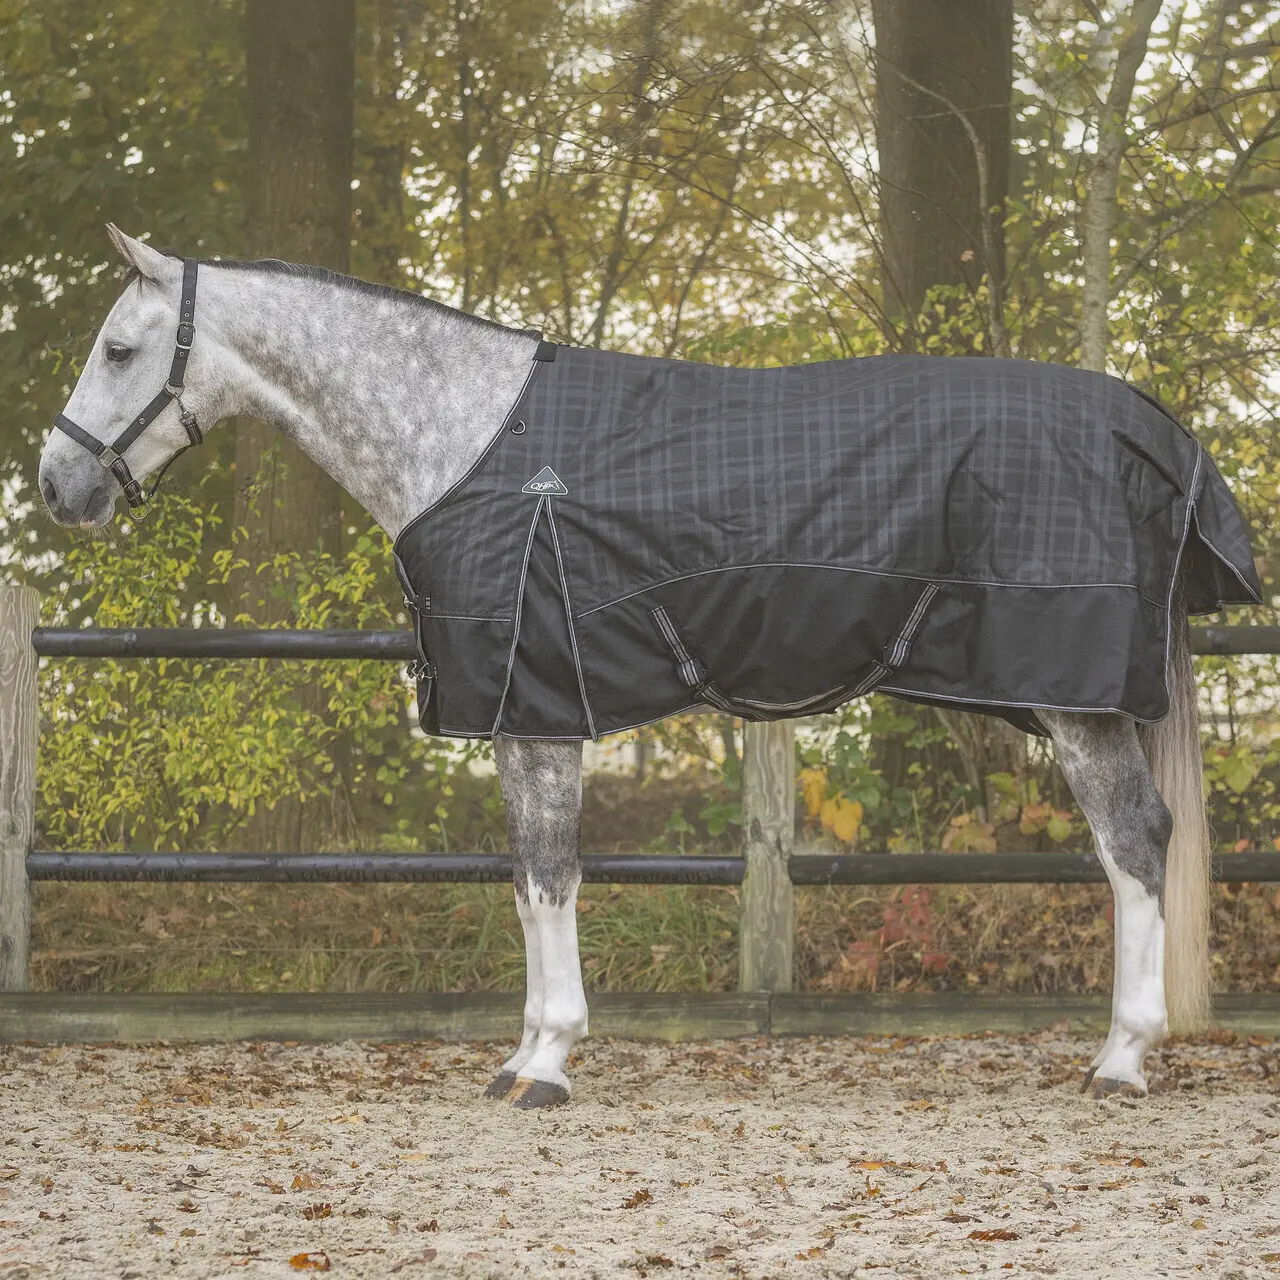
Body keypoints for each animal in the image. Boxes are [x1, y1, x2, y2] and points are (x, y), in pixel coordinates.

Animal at [38, 225, 1258, 1109]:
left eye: (118, 350)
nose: (57, 485)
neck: (470, 435)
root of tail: (1152, 427)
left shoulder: (541, 703)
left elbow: (552, 874)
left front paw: (548, 1064)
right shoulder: (516, 716)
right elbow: (526, 879)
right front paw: (522, 1053)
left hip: (1074, 700)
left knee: (1134, 843)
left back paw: (1119, 1059)